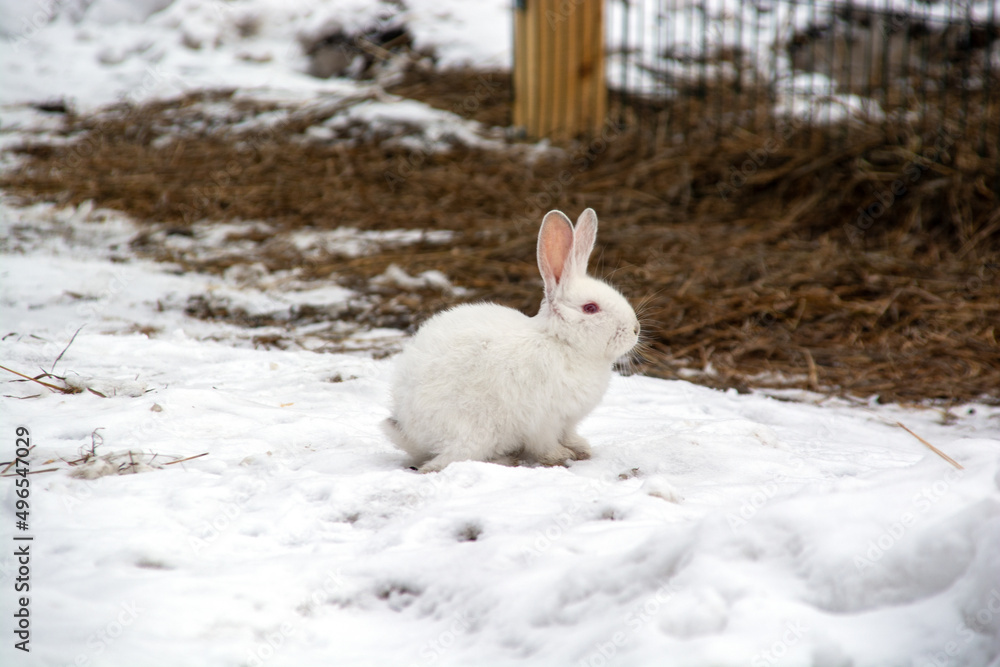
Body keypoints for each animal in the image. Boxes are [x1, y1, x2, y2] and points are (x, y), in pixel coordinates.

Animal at [382, 208, 640, 473]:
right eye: (590, 308)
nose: (635, 330)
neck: (560, 341)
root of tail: (411, 433)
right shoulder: (543, 419)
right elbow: (545, 444)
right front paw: (559, 456)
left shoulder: (567, 421)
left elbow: (568, 434)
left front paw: (581, 449)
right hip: (477, 430)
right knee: (448, 460)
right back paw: (505, 460)